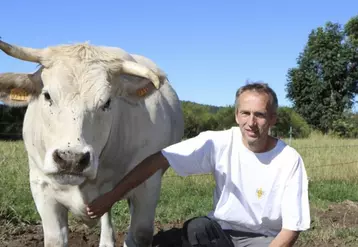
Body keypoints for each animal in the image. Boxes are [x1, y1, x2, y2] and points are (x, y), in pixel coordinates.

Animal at [0, 39, 185, 247]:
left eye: (107, 102)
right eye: (47, 95)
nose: (71, 159)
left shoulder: (148, 184)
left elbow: (139, 234)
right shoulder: (42, 186)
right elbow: (56, 238)